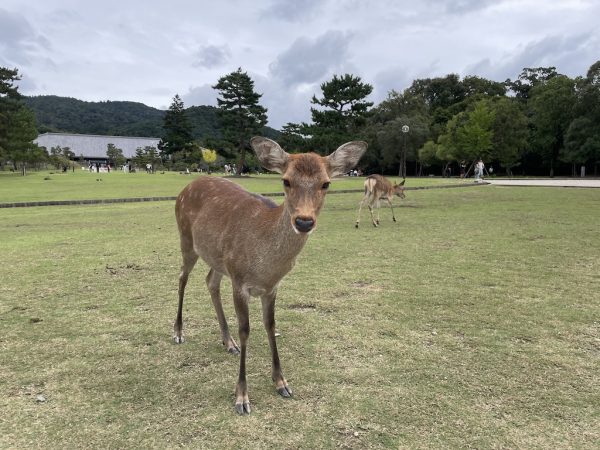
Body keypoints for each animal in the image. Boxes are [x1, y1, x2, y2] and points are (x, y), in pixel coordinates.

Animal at [173, 137, 366, 414]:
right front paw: (242, 397)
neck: (265, 266)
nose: (304, 221)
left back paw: (228, 342)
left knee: (210, 281)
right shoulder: (239, 281)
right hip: (186, 240)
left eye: (326, 183)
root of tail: (186, 187)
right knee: (182, 277)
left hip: (218, 260)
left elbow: (271, 325)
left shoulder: (271, 287)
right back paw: (179, 333)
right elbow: (246, 330)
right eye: (286, 180)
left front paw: (281, 382)